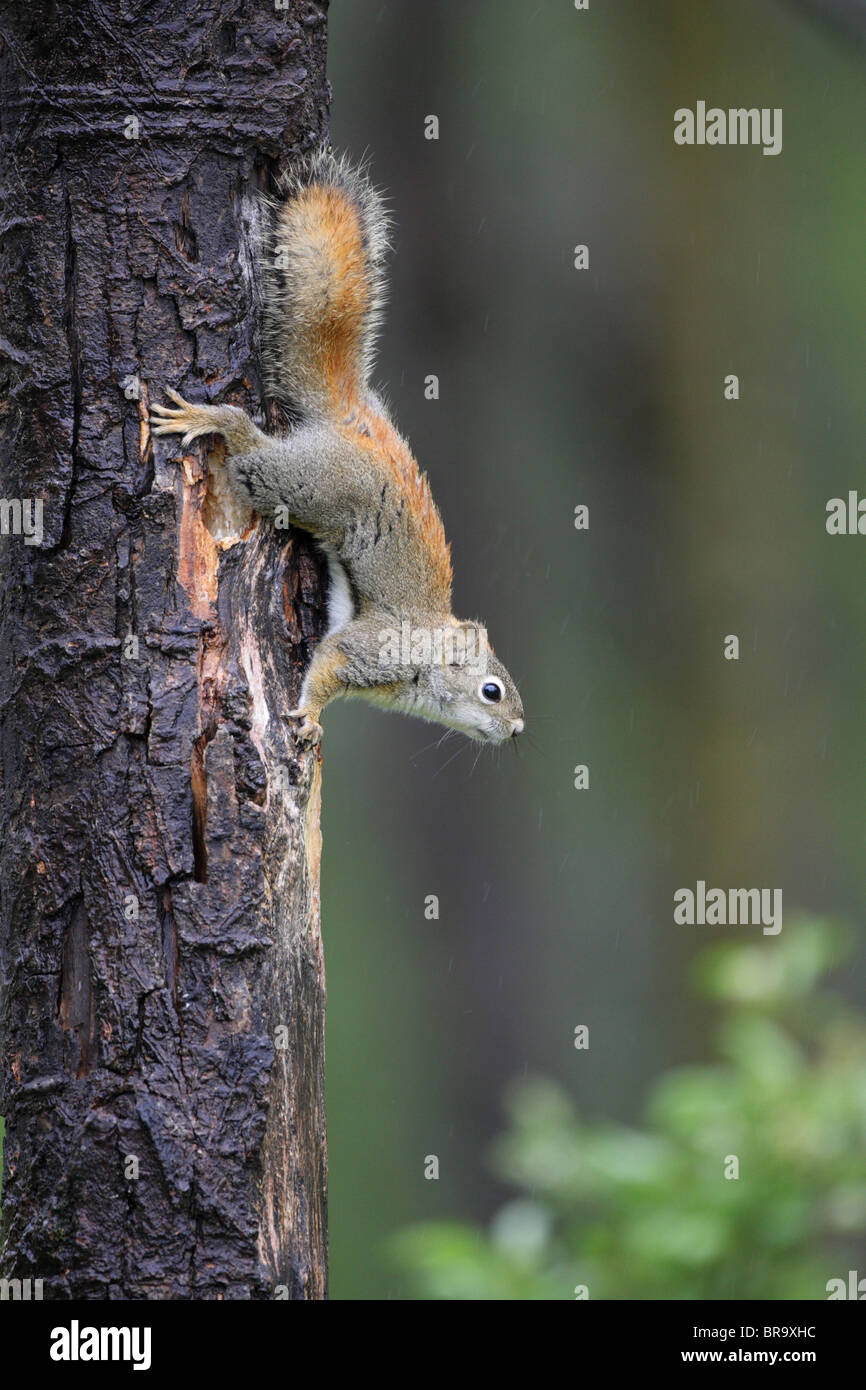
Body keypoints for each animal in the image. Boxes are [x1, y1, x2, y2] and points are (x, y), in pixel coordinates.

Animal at [150, 146, 522, 745]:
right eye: (491, 691)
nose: (517, 730)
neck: (425, 657)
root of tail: (352, 423)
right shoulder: (375, 648)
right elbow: (330, 662)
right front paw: (310, 715)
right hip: (309, 482)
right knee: (249, 449)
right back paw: (213, 418)